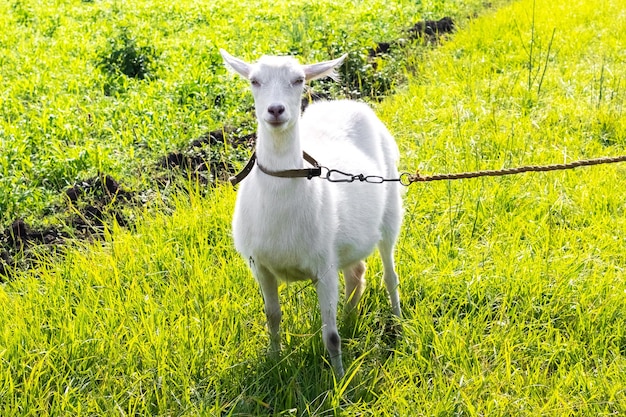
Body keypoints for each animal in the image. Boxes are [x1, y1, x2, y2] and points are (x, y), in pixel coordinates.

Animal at [222, 49, 402, 376]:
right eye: (254, 80)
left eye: (298, 80)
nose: (276, 110)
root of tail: (347, 103)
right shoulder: (260, 266)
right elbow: (272, 317)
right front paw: (275, 361)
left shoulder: (324, 266)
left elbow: (330, 337)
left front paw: (339, 380)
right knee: (356, 273)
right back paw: (349, 319)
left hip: (390, 212)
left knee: (389, 275)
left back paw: (398, 321)